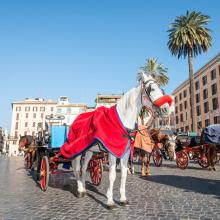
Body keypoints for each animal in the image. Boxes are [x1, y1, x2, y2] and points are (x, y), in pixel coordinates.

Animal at [71, 72, 171, 208]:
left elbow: (123, 174)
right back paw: (80, 190)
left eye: (161, 89)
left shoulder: (126, 152)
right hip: (78, 150)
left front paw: (123, 198)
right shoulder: (112, 152)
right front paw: (110, 200)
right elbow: (112, 175)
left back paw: (84, 189)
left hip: (90, 151)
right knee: (77, 168)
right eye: (152, 89)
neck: (121, 121)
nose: (166, 109)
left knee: (84, 166)